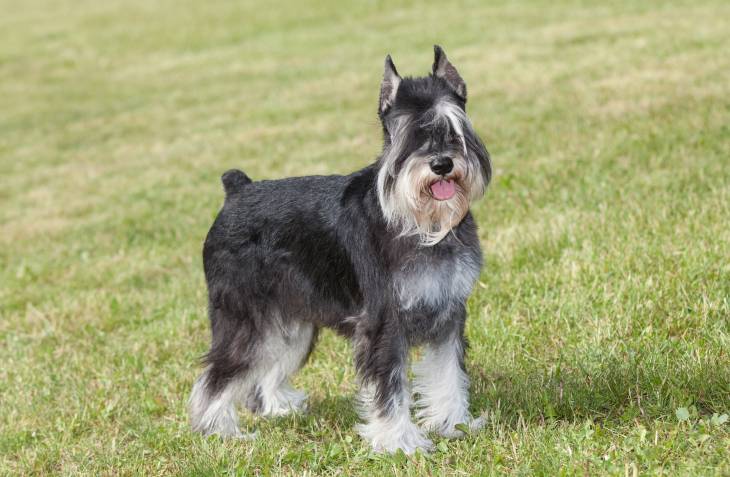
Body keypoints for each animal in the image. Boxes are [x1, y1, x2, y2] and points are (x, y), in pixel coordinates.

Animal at [191, 45, 492, 454]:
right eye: (406, 134)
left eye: (454, 128)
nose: (442, 164)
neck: (421, 223)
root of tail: (236, 190)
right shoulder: (383, 324)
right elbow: (390, 387)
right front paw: (399, 442)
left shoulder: (449, 312)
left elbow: (449, 373)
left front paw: (454, 423)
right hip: (245, 320)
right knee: (217, 375)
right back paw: (220, 430)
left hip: (289, 324)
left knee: (265, 368)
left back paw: (279, 407)